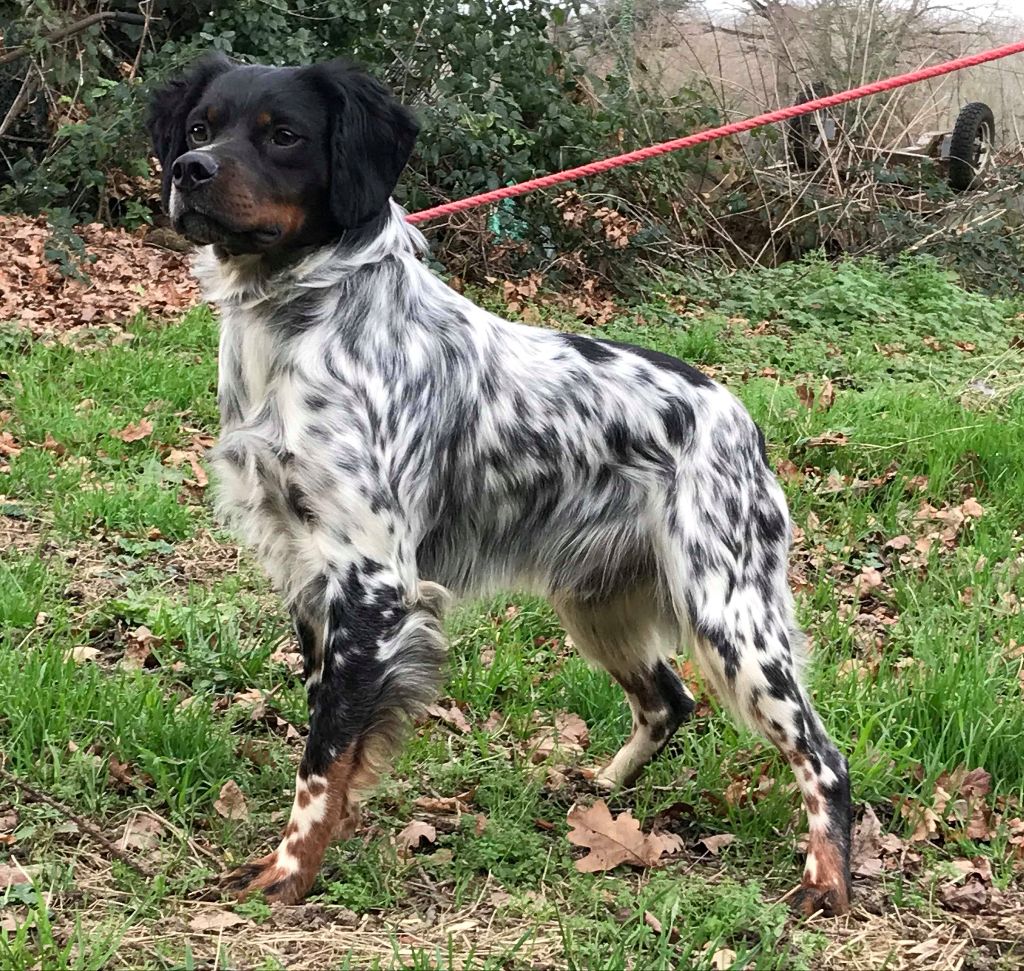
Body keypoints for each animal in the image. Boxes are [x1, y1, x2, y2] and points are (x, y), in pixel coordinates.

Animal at [148, 55, 851, 917]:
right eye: (199, 127)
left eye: (282, 134)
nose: (190, 170)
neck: (302, 321)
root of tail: (739, 418)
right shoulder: (308, 574)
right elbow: (332, 738)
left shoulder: (373, 582)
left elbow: (322, 756)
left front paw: (288, 871)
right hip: (596, 603)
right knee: (669, 700)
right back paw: (601, 791)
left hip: (731, 617)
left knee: (823, 756)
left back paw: (828, 882)